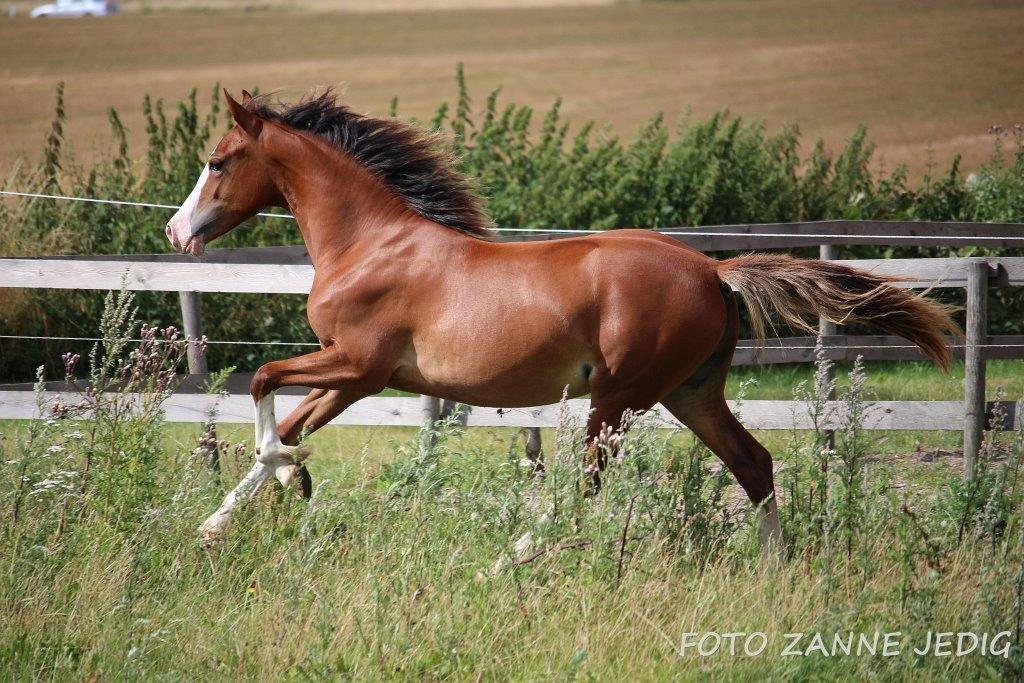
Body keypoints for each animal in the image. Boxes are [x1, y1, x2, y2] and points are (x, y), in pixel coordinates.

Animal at [167, 89, 958, 557]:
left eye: (218, 161)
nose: (177, 232)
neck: (371, 243)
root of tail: (713, 273)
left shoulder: (357, 361)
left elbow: (263, 382)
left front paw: (289, 473)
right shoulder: (357, 376)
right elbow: (287, 417)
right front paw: (221, 520)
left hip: (620, 396)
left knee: (589, 482)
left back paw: (510, 557)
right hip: (691, 391)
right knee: (753, 463)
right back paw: (775, 566)